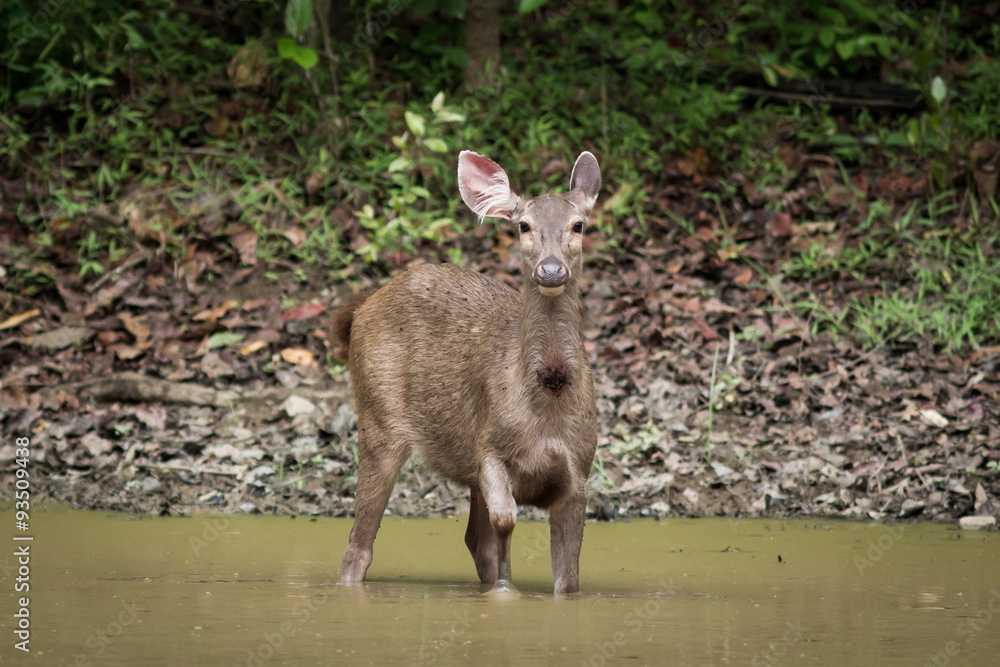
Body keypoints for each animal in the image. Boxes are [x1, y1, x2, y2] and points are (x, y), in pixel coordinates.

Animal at [334, 150, 601, 595]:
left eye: (578, 224)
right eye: (523, 224)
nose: (551, 270)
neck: (547, 408)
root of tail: (361, 307)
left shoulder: (578, 471)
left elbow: (568, 580)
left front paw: (508, 588)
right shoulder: (488, 447)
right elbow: (505, 519)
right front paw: (506, 590)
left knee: (473, 540)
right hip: (378, 418)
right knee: (358, 545)